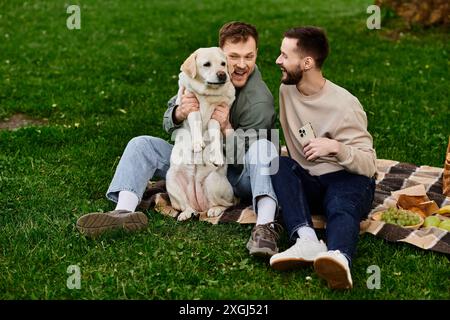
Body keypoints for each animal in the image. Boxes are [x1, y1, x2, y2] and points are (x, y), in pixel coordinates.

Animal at [164, 47, 236, 221]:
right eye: (207, 64)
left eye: (223, 63)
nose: (223, 74)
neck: (207, 94)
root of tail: (199, 206)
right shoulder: (190, 104)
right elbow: (195, 121)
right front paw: (197, 144)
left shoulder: (218, 112)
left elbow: (214, 130)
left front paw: (216, 155)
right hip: (171, 180)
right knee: (186, 206)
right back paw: (186, 213)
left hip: (212, 181)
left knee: (226, 204)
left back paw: (214, 210)